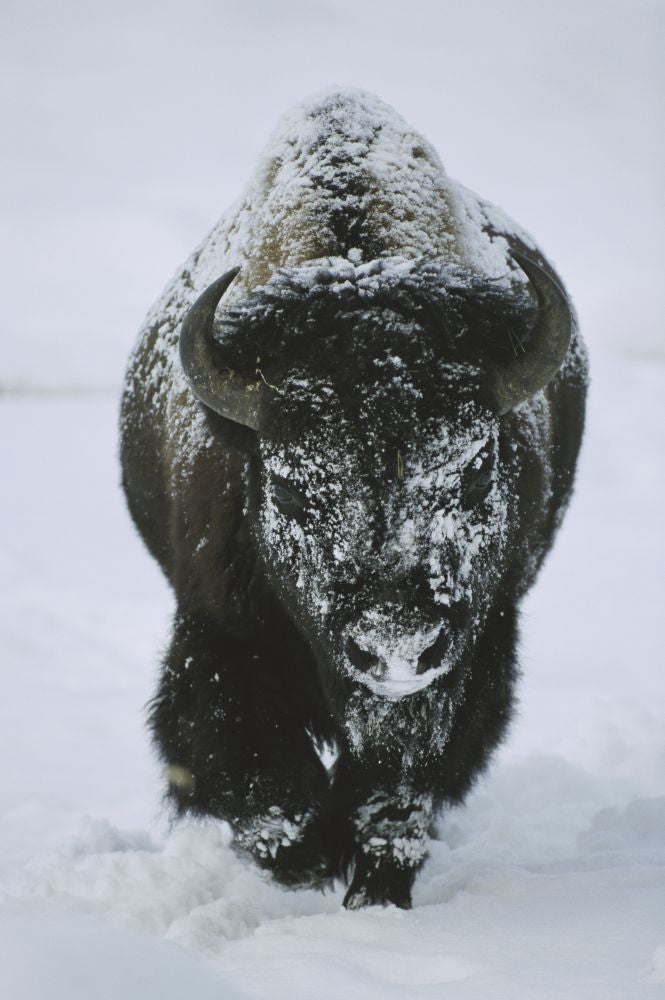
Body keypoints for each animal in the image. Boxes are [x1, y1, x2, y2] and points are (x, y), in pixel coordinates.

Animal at [120, 89, 588, 909]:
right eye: (286, 485)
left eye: (475, 466)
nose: (395, 648)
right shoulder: (217, 635)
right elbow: (260, 788)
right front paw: (310, 862)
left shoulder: (472, 653)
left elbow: (396, 791)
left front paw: (373, 888)